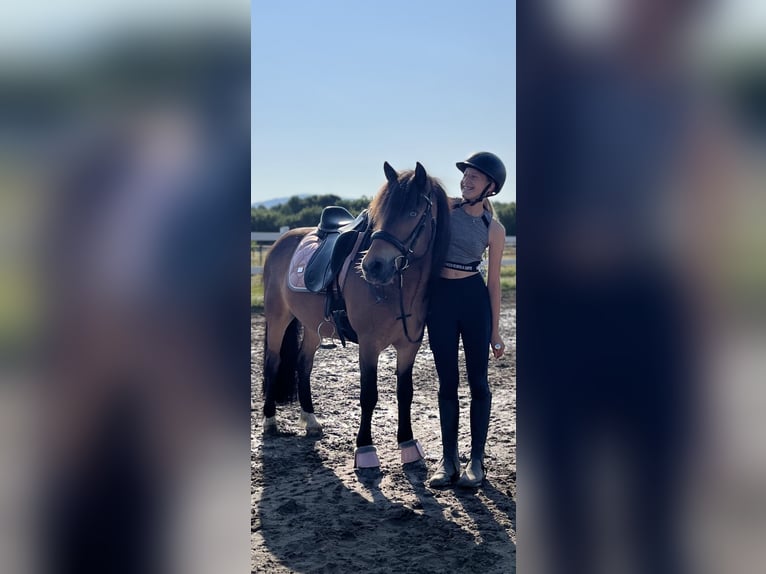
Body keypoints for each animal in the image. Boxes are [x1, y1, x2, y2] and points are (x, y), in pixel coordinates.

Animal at [261, 161, 450, 467]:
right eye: (381, 213)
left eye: (413, 212)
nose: (373, 266)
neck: (397, 288)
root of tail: (281, 241)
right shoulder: (369, 345)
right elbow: (368, 394)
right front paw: (365, 448)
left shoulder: (409, 346)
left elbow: (405, 393)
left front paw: (407, 443)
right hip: (278, 318)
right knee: (273, 362)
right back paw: (269, 421)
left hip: (312, 326)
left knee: (303, 363)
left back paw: (310, 419)